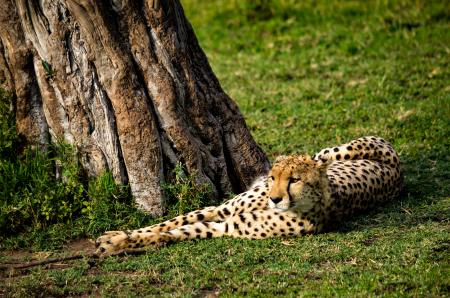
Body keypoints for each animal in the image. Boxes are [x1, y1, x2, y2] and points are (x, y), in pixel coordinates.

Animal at [95, 136, 400, 255]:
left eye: (295, 180)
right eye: (275, 178)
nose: (274, 198)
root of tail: (399, 172)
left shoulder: (225, 226)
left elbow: (178, 231)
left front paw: (116, 244)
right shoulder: (221, 210)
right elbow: (169, 222)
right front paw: (116, 235)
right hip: (329, 152)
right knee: (319, 155)